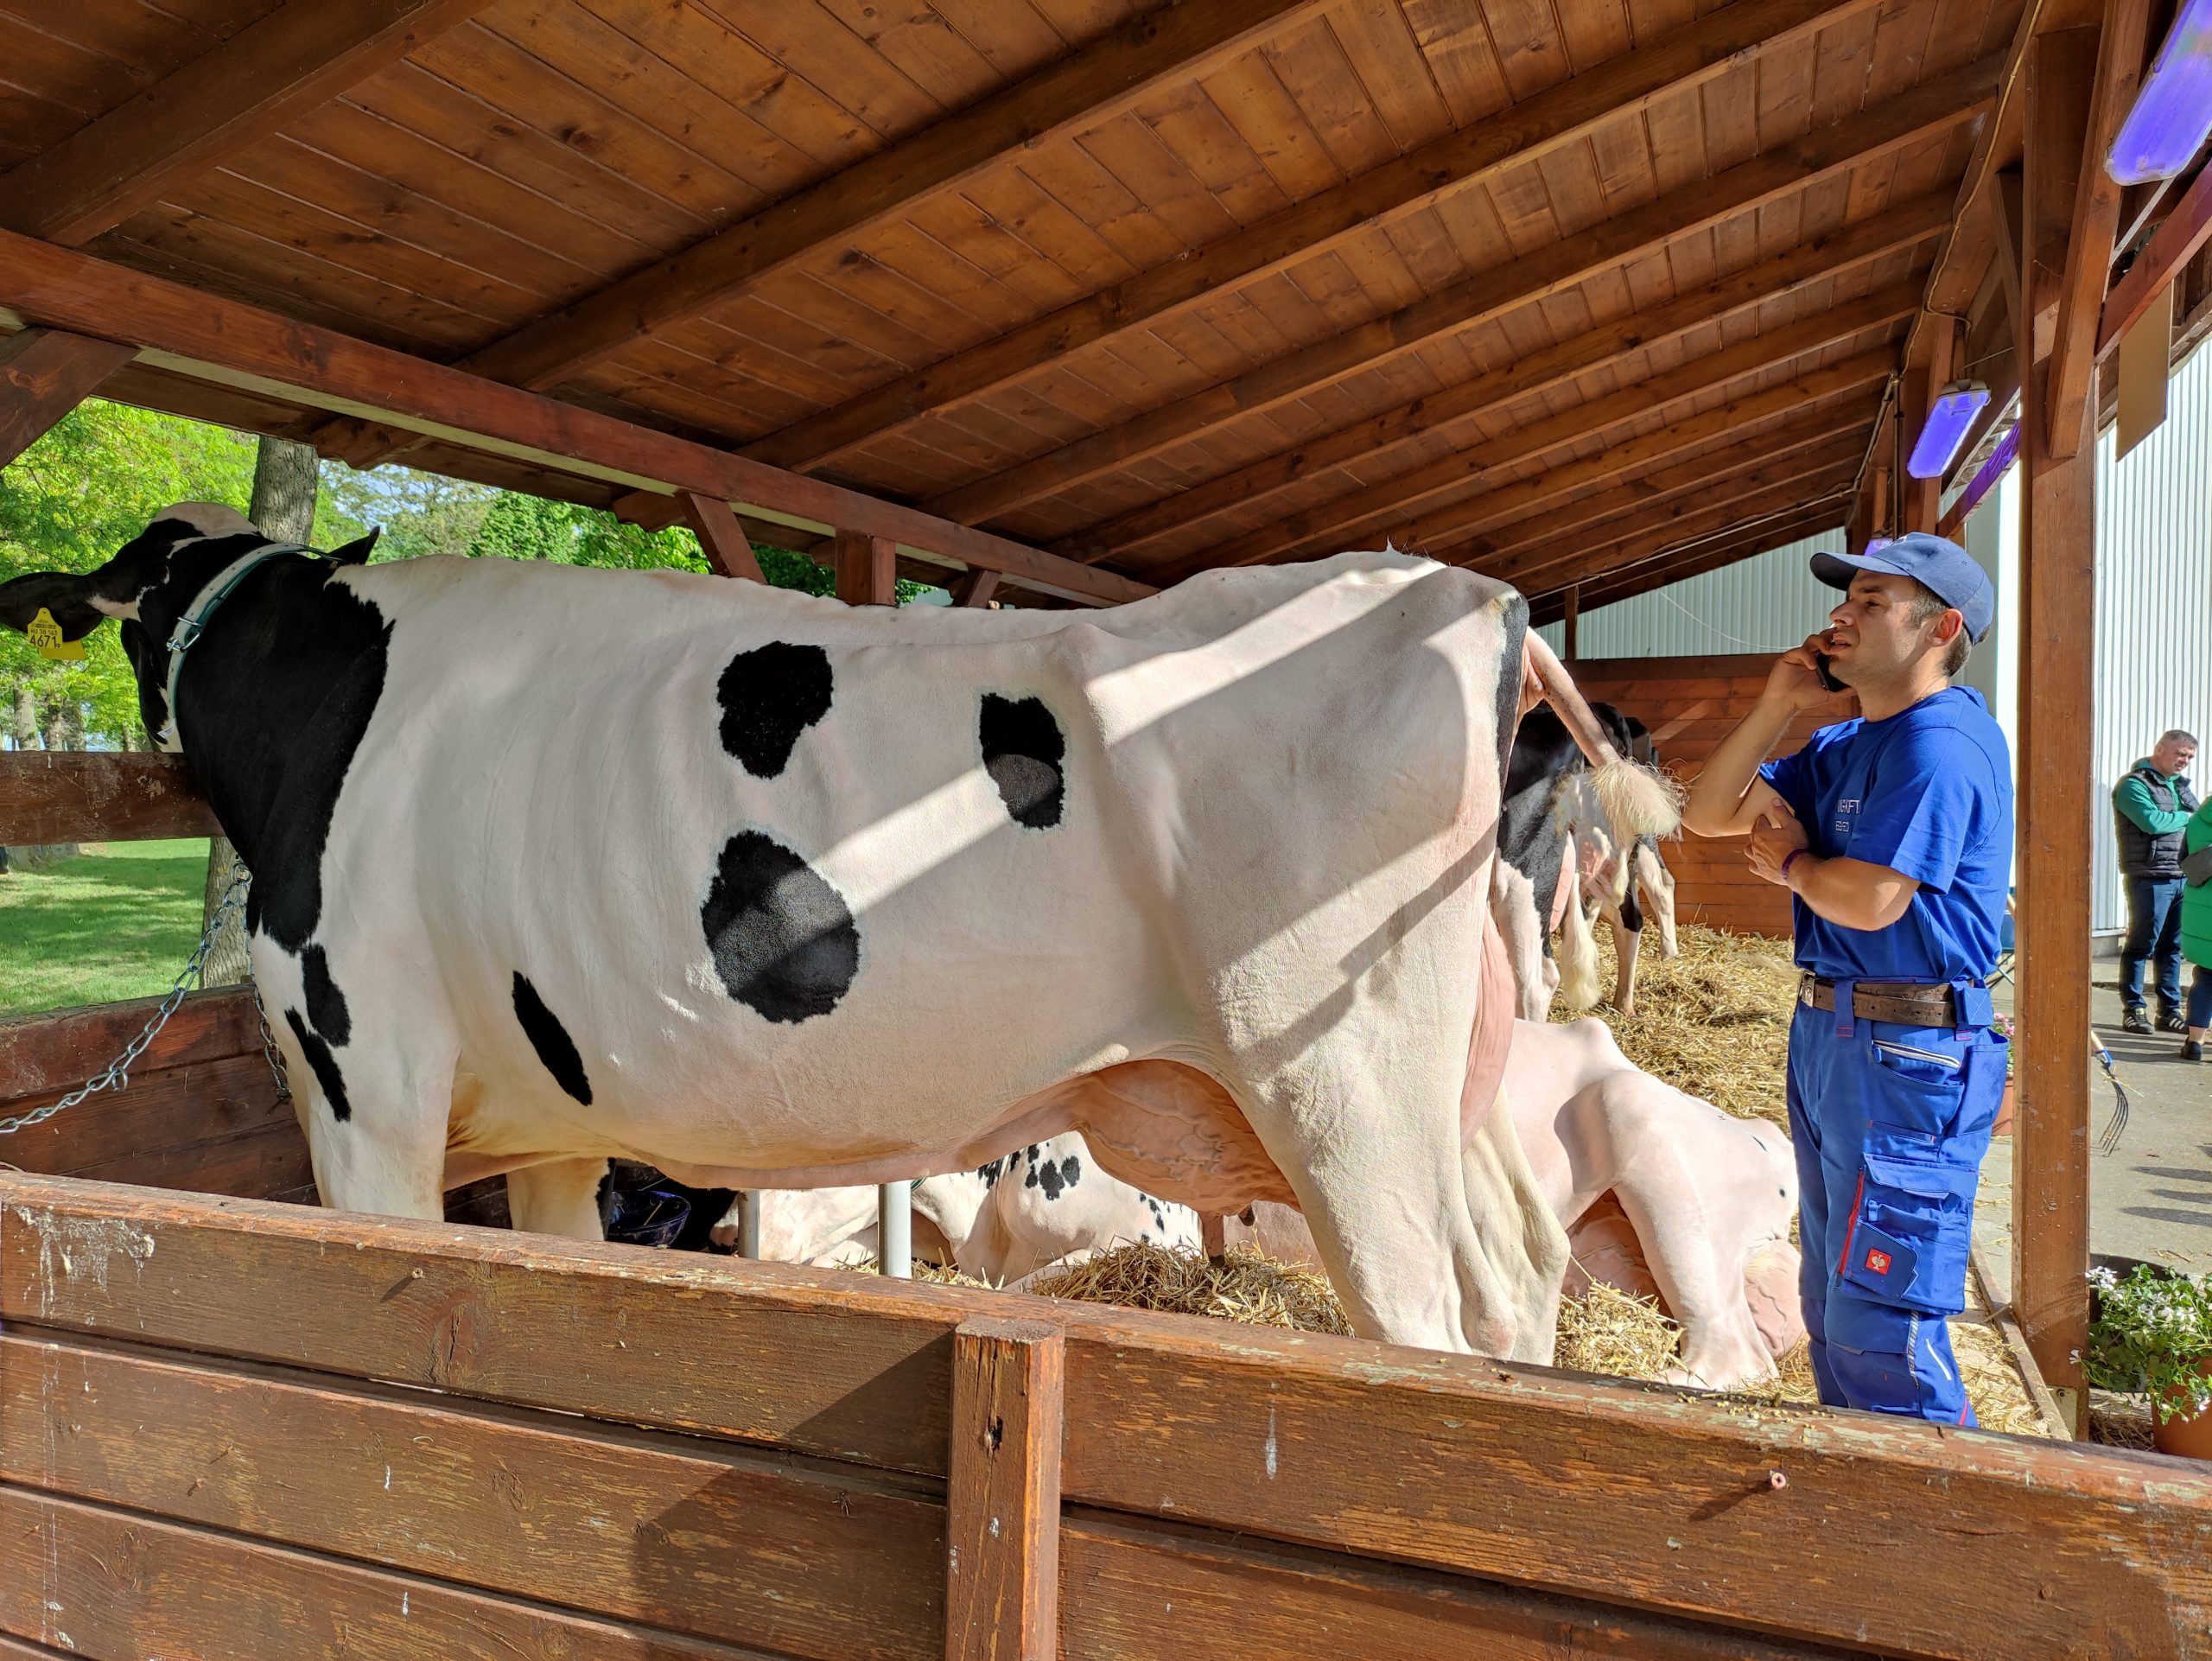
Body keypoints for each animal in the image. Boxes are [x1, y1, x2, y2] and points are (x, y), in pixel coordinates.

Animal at [0, 506, 1672, 1362]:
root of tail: (1464, 590)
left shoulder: (367, 1087)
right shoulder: (550, 1122)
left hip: (1343, 1092)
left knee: (1429, 1330)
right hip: (1451, 1079)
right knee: (1517, 1272)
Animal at [725, 1026, 1796, 1389]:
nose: (727, 1231)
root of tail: (1757, 1124)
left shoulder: (1148, 1235)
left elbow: (1039, 1287)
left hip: (1650, 1146)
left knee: (1727, 1353)